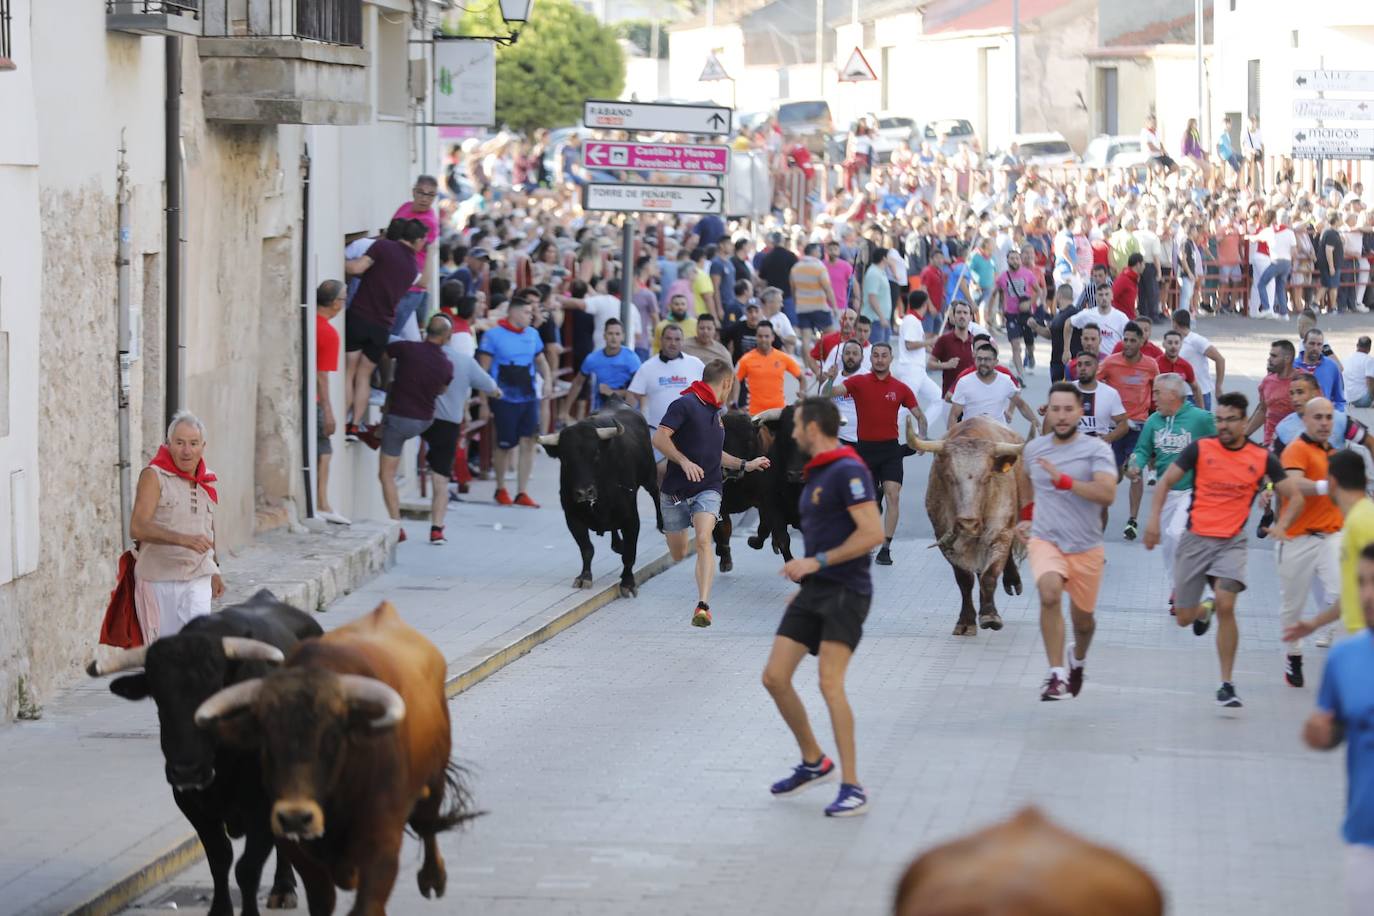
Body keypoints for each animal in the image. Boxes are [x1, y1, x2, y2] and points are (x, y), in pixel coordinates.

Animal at [87, 590, 321, 911]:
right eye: (158, 698)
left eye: (215, 692)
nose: (187, 770)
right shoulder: (191, 802)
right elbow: (220, 858)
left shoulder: (261, 806)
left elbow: (247, 868)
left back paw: (284, 888)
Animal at [190, 601, 475, 916]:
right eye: (266, 743)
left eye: (333, 739)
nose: (295, 817)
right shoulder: (300, 854)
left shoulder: (382, 842)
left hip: (434, 780)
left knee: (427, 823)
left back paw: (433, 878)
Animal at [538, 398, 662, 598]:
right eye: (565, 459)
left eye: (596, 454)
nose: (584, 492)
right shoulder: (572, 517)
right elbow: (587, 549)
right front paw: (584, 577)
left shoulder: (631, 518)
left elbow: (630, 554)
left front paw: (628, 583)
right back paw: (617, 544)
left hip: (649, 475)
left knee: (656, 492)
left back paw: (661, 524)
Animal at [906, 417, 1027, 637]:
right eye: (949, 477)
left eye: (987, 478)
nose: (968, 523)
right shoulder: (945, 539)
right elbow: (965, 579)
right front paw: (966, 621)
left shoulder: (1000, 532)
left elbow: (990, 574)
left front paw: (990, 615)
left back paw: (1012, 581)